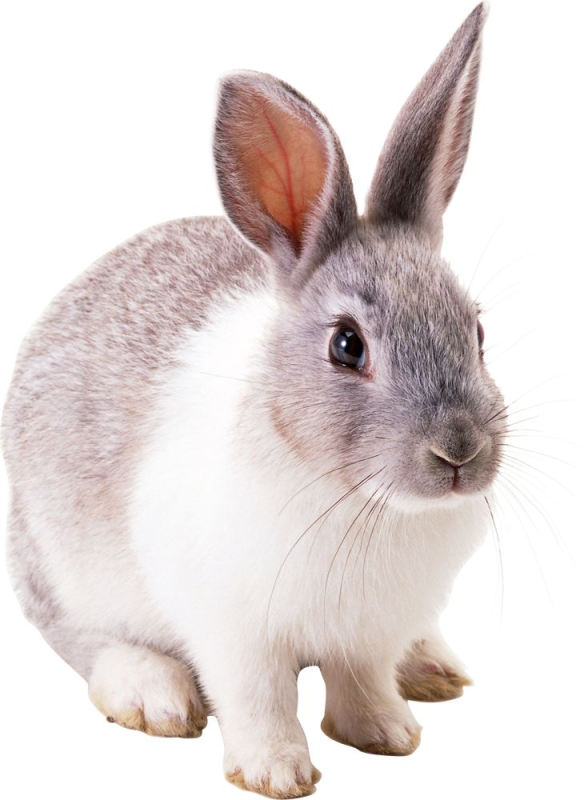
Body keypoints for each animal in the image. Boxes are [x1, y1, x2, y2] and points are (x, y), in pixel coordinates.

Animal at [1, 3, 505, 798]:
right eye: (347, 346)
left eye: (478, 332)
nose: (460, 452)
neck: (361, 502)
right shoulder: (234, 631)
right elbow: (258, 697)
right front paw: (276, 772)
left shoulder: (368, 633)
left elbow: (361, 682)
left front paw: (387, 734)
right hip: (59, 569)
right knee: (80, 638)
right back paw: (152, 692)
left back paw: (431, 668)